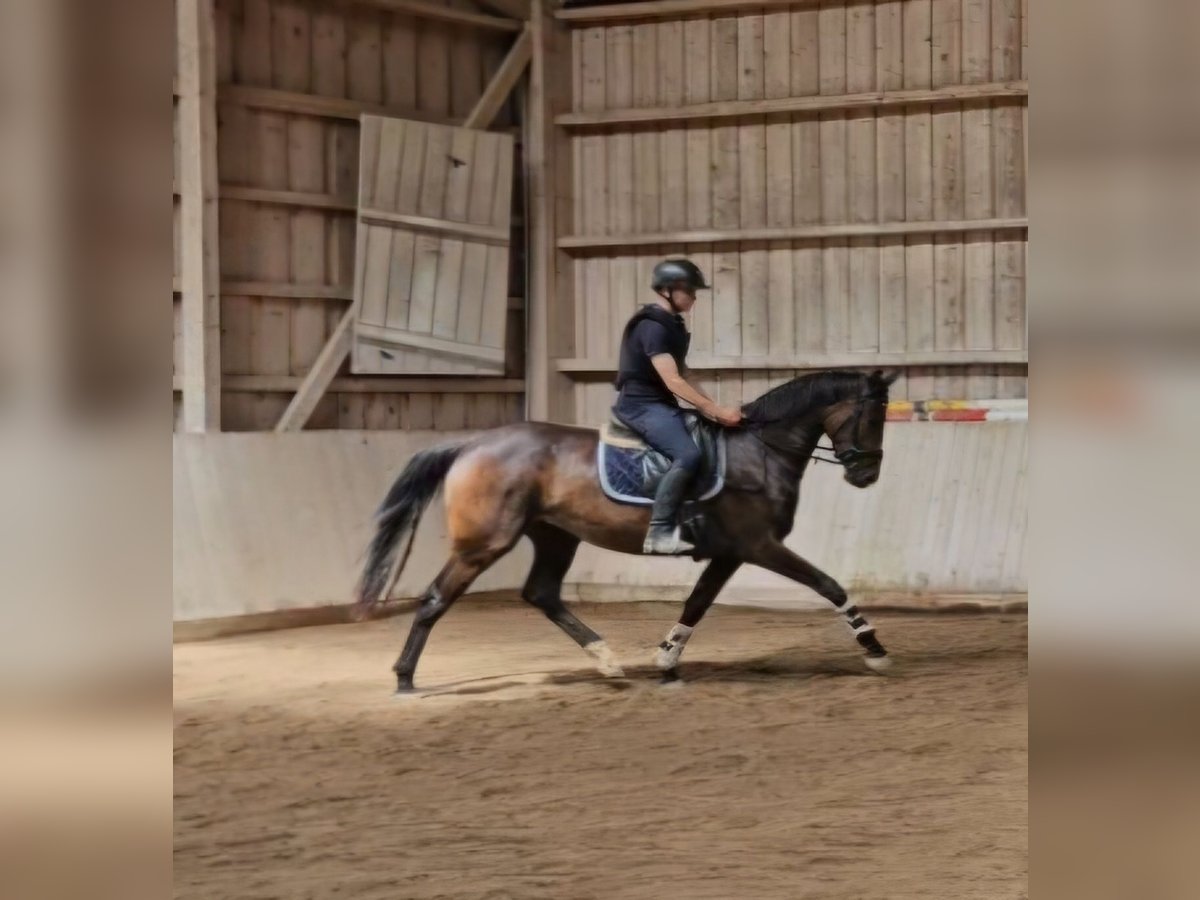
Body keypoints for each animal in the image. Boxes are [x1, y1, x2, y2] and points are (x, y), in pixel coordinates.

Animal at [350, 369, 897, 696]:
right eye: (873, 415)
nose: (867, 475)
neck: (760, 451)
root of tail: (473, 443)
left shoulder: (730, 552)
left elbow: (696, 604)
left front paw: (667, 664)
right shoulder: (759, 545)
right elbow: (828, 585)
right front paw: (873, 649)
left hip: (555, 535)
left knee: (541, 593)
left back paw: (607, 661)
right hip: (485, 543)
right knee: (436, 599)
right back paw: (404, 679)